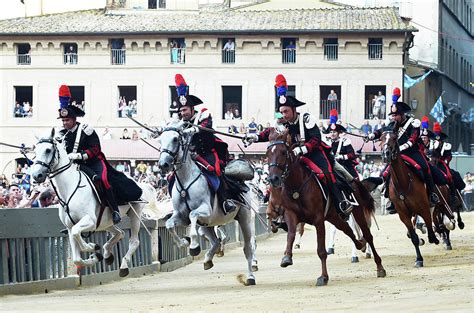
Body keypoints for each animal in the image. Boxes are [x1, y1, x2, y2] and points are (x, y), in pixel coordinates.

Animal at [29, 128, 157, 276]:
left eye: (48, 150)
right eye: (35, 151)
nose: (36, 175)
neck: (70, 188)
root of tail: (141, 185)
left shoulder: (89, 220)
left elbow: (78, 236)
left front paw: (92, 247)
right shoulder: (70, 226)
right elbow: (77, 259)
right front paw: (96, 254)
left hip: (134, 214)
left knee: (134, 241)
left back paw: (123, 266)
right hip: (106, 222)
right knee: (120, 233)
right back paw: (107, 255)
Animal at [157, 120, 258, 286]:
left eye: (175, 139)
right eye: (160, 140)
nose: (163, 164)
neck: (186, 180)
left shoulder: (206, 211)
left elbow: (193, 214)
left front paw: (193, 245)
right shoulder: (180, 216)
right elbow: (169, 224)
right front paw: (184, 243)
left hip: (245, 218)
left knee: (248, 247)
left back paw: (250, 277)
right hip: (207, 225)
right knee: (216, 241)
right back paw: (208, 260)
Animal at [266, 128, 386, 284]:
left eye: (282, 152)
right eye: (268, 153)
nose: (273, 179)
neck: (298, 186)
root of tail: (353, 180)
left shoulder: (318, 220)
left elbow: (321, 251)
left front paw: (323, 277)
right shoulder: (291, 215)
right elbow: (291, 235)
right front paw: (287, 257)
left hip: (357, 211)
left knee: (367, 235)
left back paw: (379, 266)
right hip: (333, 216)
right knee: (347, 229)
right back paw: (360, 245)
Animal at [380, 131, 438, 266]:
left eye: (394, 138)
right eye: (381, 138)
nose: (386, 154)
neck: (403, 183)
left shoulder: (424, 208)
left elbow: (429, 225)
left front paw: (432, 236)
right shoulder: (403, 215)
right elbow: (414, 237)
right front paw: (419, 259)